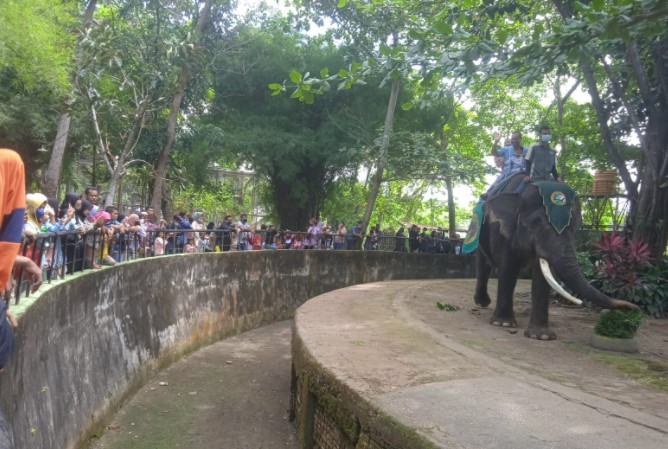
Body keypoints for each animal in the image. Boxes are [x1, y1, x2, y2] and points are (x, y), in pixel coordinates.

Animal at [474, 175, 636, 340]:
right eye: (536, 222)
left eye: (575, 226)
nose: (634, 308)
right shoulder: (503, 231)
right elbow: (509, 268)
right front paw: (503, 324)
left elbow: (543, 275)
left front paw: (541, 336)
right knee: (483, 262)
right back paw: (482, 303)